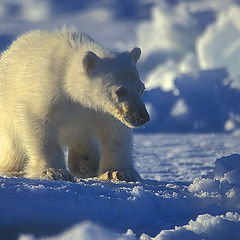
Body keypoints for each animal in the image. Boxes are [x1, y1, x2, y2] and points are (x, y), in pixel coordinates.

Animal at [0, 26, 149, 182]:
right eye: (120, 91)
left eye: (142, 88)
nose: (142, 117)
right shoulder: (46, 93)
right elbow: (40, 127)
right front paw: (54, 172)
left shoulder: (98, 110)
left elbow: (115, 131)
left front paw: (119, 172)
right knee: (13, 148)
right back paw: (14, 169)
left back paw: (86, 165)